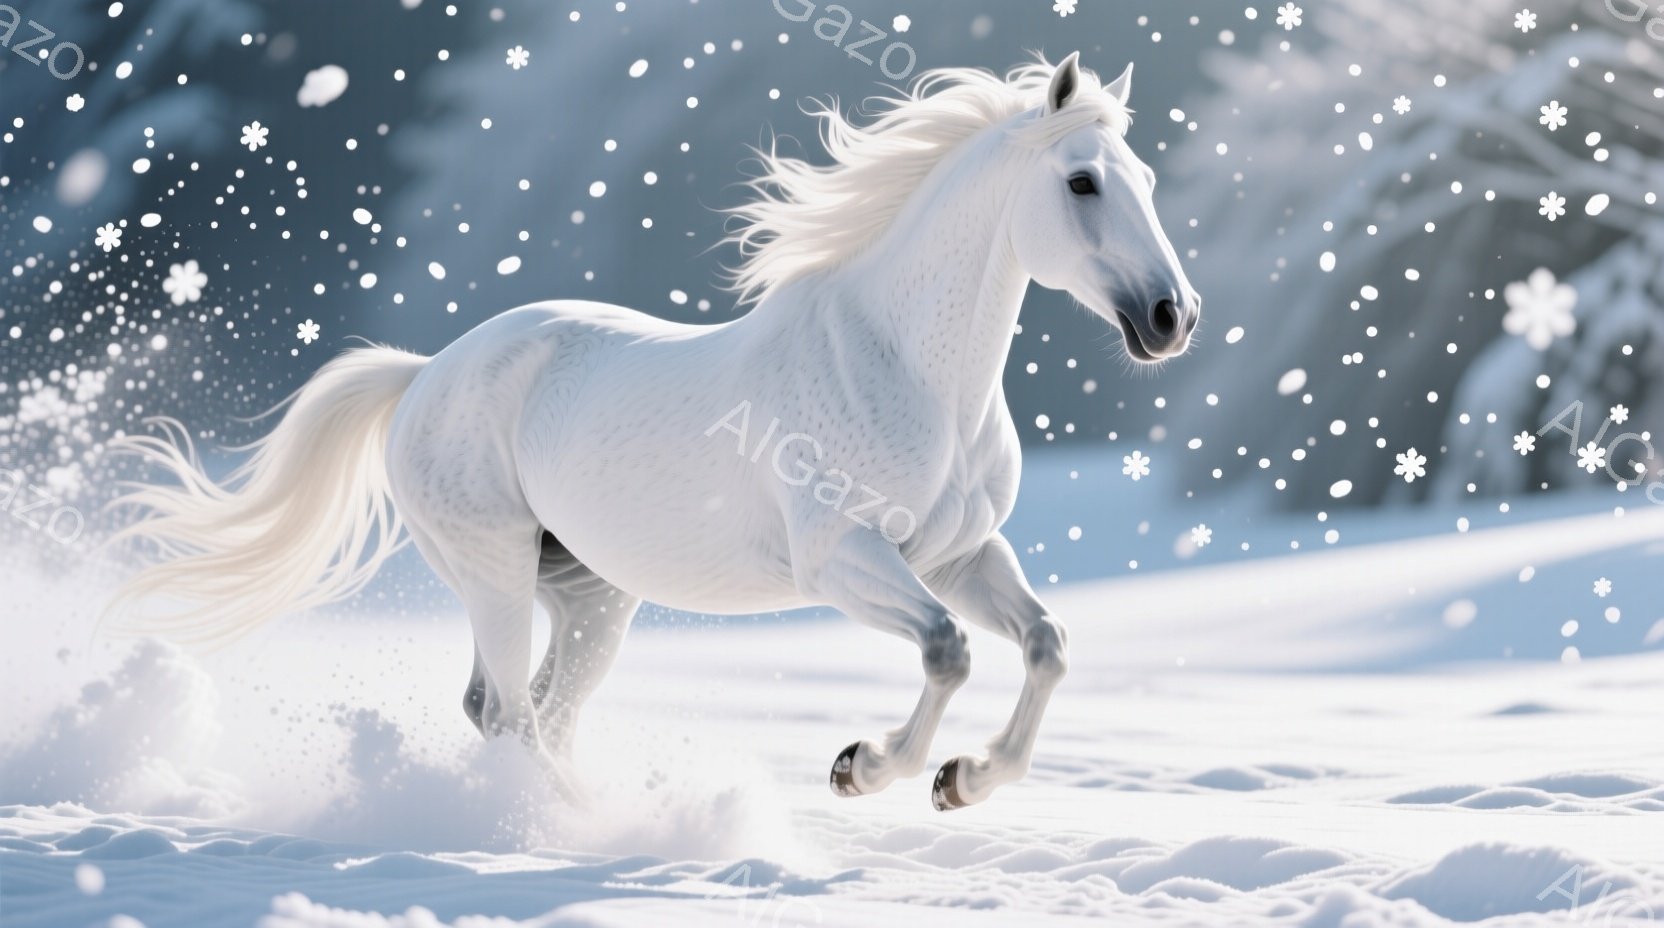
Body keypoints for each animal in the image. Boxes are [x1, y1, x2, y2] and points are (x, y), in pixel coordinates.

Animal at [112, 53, 1199, 811]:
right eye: (1082, 182)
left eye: (1146, 178)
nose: (1172, 318)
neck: (905, 369)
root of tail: (424, 374)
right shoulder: (842, 557)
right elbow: (947, 651)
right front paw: (862, 766)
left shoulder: (961, 554)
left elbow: (1047, 643)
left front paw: (962, 781)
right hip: (492, 567)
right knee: (504, 711)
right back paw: (582, 826)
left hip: (592, 597)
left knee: (537, 714)